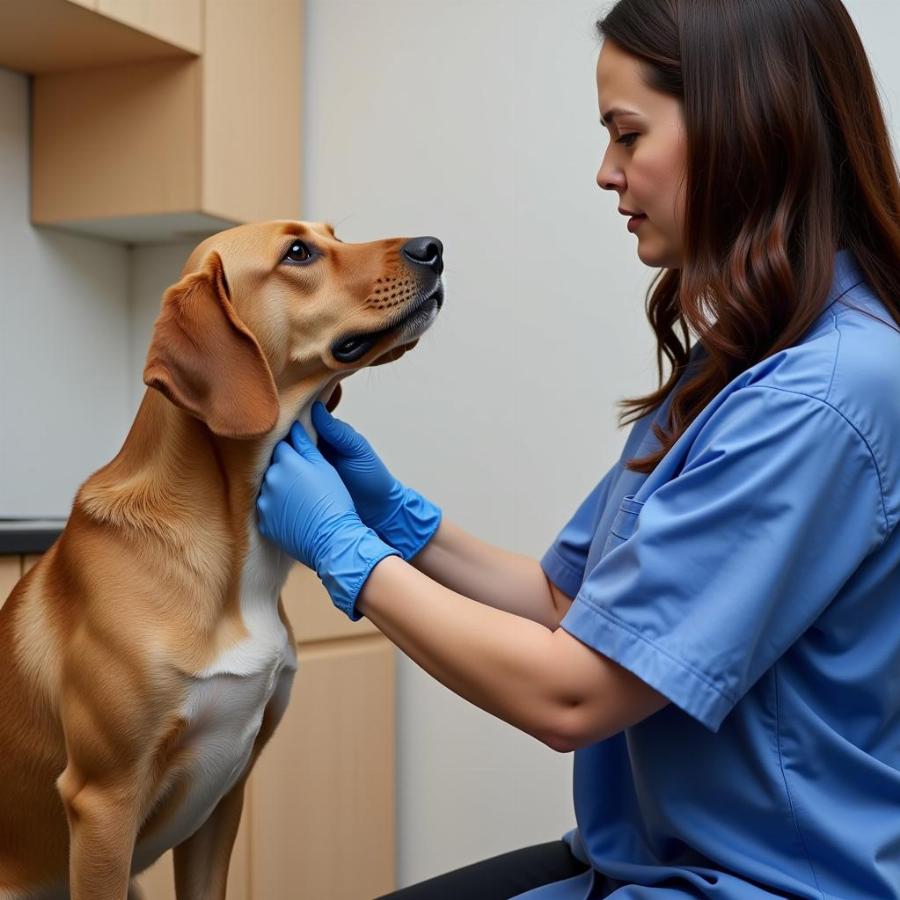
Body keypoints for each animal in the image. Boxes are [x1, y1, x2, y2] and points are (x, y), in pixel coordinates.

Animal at [0, 220, 446, 900]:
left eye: (332, 234)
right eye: (298, 252)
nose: (434, 248)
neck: (237, 560)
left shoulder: (224, 794)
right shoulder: (103, 802)